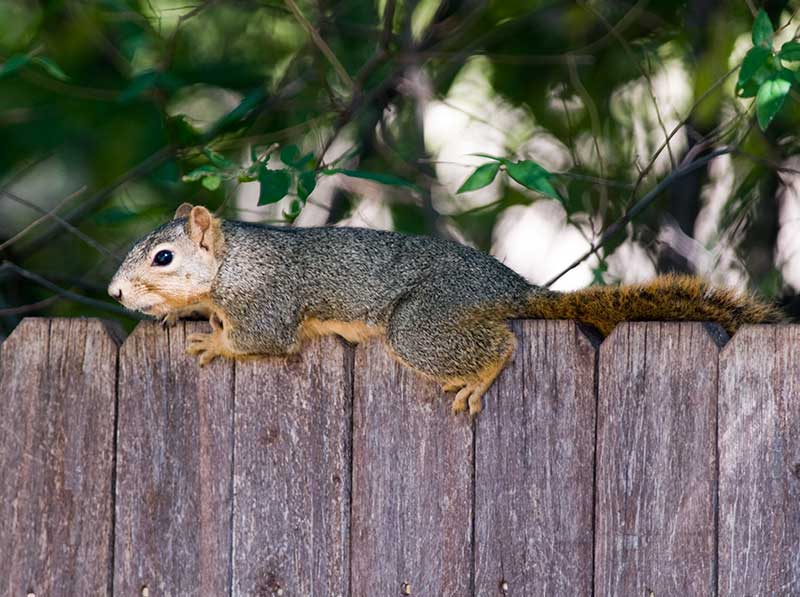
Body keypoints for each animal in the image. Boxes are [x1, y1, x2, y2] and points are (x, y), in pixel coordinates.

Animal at [109, 203, 784, 416]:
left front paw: (214, 342)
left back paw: (477, 379)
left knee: (503, 345)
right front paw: (180, 317)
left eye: (163, 258)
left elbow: (266, 340)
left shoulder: (269, 300)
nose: (115, 294)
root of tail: (508, 286)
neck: (232, 265)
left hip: (420, 323)